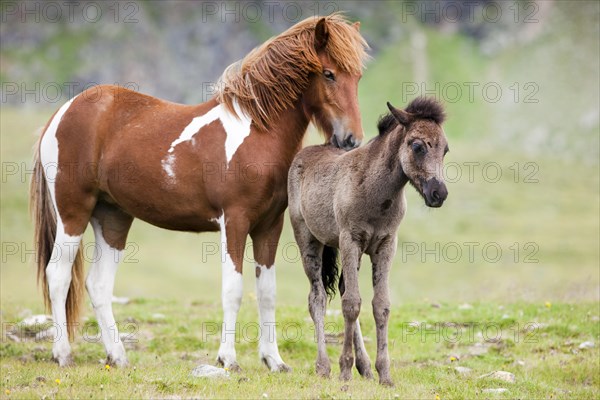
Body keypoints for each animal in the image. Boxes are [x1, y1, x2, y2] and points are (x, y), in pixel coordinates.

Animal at [30, 15, 368, 372]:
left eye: (357, 76)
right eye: (329, 73)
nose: (350, 139)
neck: (256, 133)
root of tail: (62, 114)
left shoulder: (269, 226)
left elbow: (267, 292)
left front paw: (274, 360)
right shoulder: (234, 221)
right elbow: (233, 289)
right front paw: (228, 359)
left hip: (113, 218)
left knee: (98, 284)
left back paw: (118, 356)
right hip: (73, 213)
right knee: (58, 276)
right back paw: (63, 354)